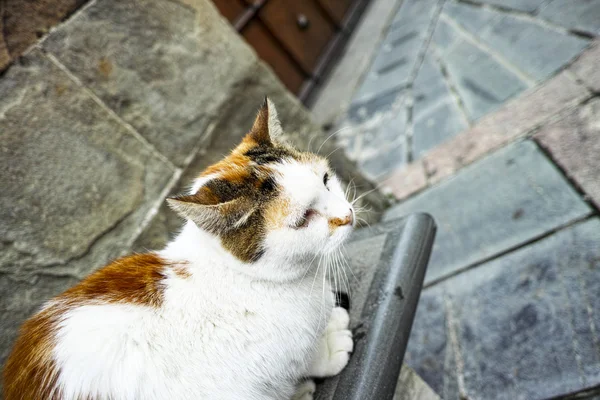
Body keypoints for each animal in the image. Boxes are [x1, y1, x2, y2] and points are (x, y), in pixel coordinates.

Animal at [3, 99, 356, 400]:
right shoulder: (272, 367)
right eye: (303, 218)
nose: (348, 216)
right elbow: (308, 361)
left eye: (326, 179)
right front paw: (330, 348)